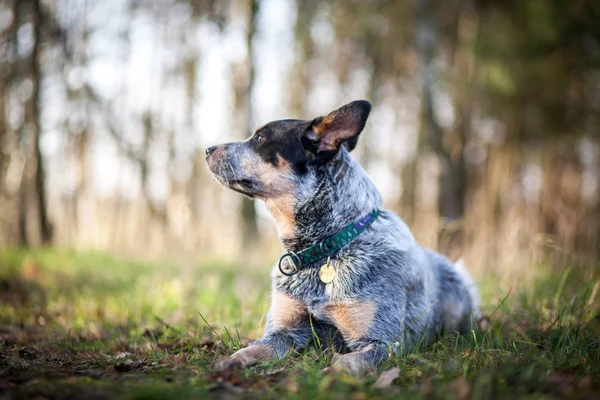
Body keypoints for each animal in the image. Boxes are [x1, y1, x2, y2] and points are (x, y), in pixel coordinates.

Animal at [204, 100, 480, 376]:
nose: (207, 149)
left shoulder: (382, 343)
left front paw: (329, 375)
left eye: (260, 138)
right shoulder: (283, 330)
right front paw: (230, 361)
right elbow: (252, 349)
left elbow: (347, 362)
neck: (326, 248)